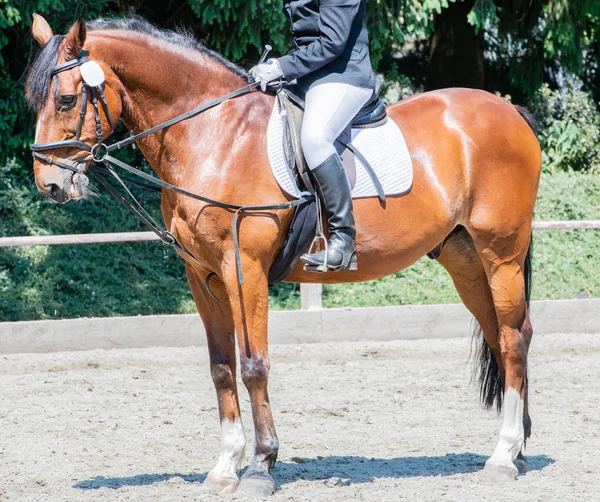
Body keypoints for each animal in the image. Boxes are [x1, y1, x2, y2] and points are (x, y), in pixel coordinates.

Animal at [27, 13, 540, 496]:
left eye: (67, 100)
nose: (49, 184)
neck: (212, 135)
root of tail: (509, 110)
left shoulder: (244, 269)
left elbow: (254, 366)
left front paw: (261, 465)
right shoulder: (201, 276)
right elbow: (221, 368)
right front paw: (224, 467)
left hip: (501, 254)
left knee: (515, 338)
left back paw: (502, 456)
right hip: (466, 261)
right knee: (499, 335)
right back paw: (518, 449)